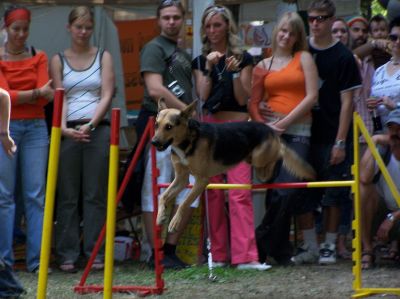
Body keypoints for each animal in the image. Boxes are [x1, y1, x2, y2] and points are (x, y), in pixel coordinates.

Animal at [152, 99, 314, 233]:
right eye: (156, 125)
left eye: (169, 127)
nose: (153, 142)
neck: (187, 141)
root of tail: (270, 129)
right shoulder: (181, 179)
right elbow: (163, 197)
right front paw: (160, 216)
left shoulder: (201, 181)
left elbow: (184, 203)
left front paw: (174, 222)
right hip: (253, 161)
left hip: (259, 158)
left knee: (279, 153)